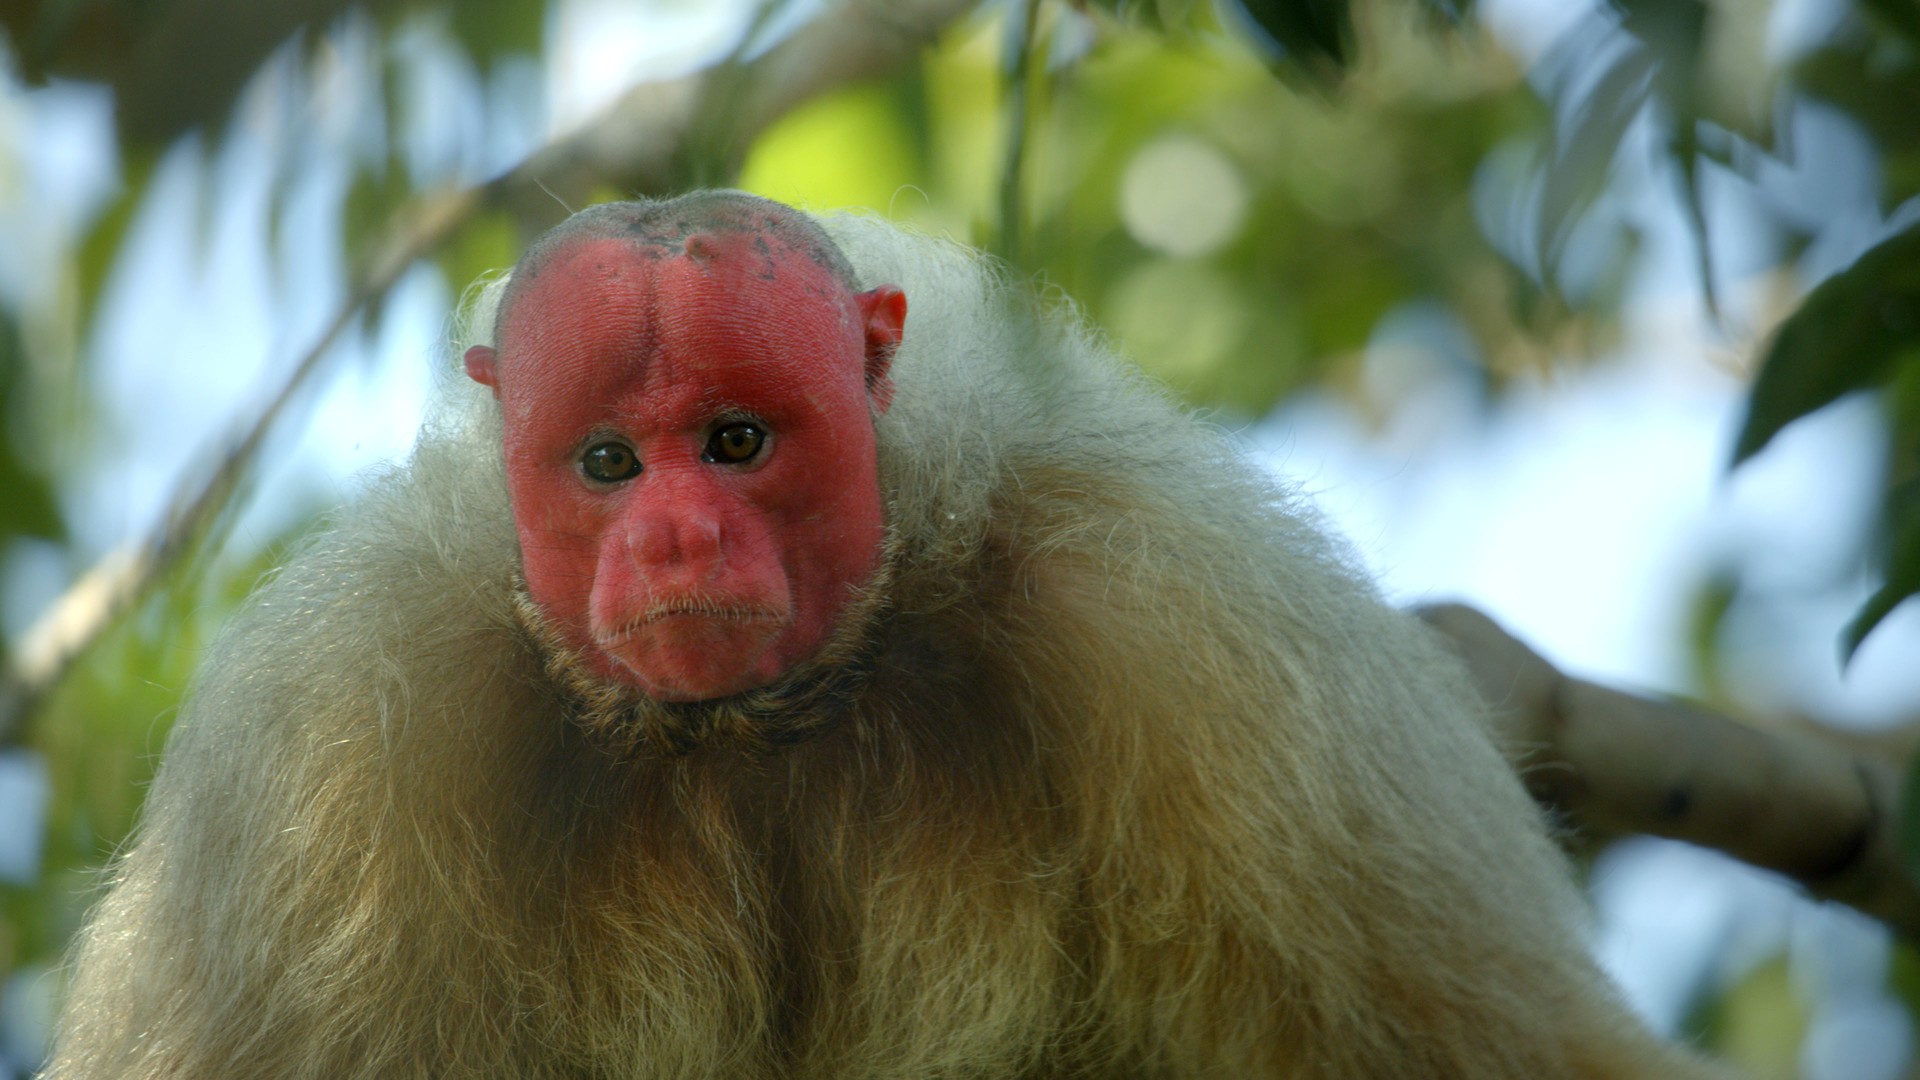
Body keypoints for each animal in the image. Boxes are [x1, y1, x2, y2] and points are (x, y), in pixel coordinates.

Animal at [47, 191, 1728, 1078]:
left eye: (734, 443)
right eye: (609, 465)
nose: (673, 540)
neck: (757, 729)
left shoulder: (1220, 656)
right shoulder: (321, 767)